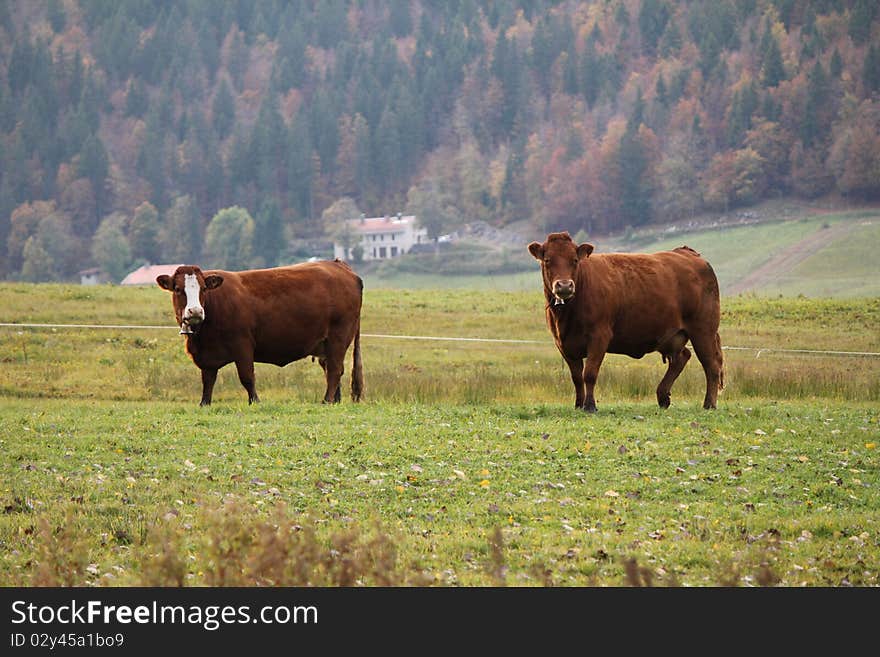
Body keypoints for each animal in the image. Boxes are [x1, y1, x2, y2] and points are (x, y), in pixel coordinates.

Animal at [156, 258, 362, 402]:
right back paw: (335, 401)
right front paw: (204, 403)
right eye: (177, 289)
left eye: (204, 289)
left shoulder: (242, 345)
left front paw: (254, 401)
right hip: (325, 345)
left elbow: (247, 377)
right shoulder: (207, 358)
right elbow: (208, 382)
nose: (196, 311)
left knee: (334, 370)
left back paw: (326, 400)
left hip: (338, 338)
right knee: (331, 369)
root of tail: (339, 266)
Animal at [528, 233, 720, 412]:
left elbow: (589, 373)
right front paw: (578, 405)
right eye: (547, 260)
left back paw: (709, 404)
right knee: (682, 357)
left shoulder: (599, 336)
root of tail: (687, 253)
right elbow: (576, 377)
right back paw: (663, 397)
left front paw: (590, 406)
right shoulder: (564, 344)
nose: (564, 285)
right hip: (672, 335)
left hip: (704, 330)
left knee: (711, 365)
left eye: (574, 260)